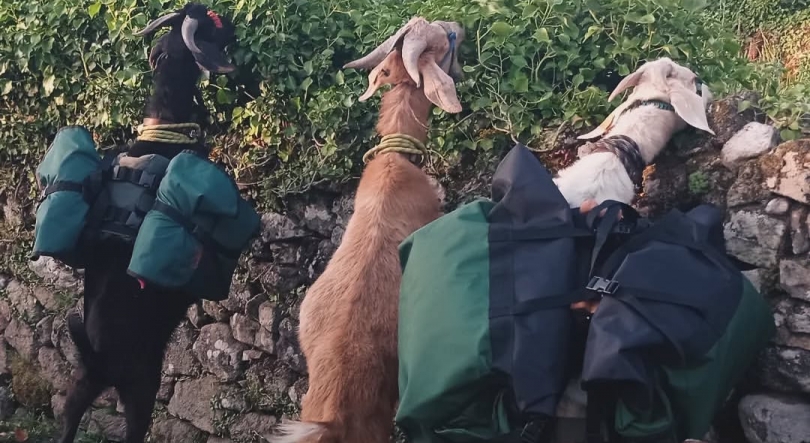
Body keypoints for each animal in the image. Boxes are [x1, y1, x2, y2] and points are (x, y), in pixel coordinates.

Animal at [56, 4, 235, 443]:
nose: (235, 27)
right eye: (211, 23)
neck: (164, 130)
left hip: (81, 383)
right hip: (144, 389)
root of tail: (101, 360)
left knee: (68, 419)